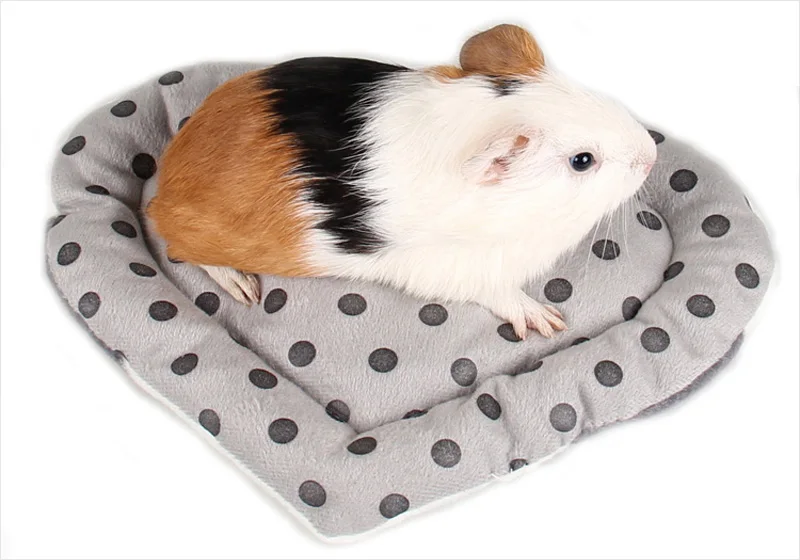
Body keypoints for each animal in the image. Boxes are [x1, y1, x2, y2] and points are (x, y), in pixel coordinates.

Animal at [147, 23, 657, 340]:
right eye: (582, 161)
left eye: (591, 95)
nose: (651, 155)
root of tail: (165, 182)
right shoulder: (452, 269)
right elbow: (499, 293)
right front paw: (548, 321)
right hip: (197, 237)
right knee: (180, 248)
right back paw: (245, 290)